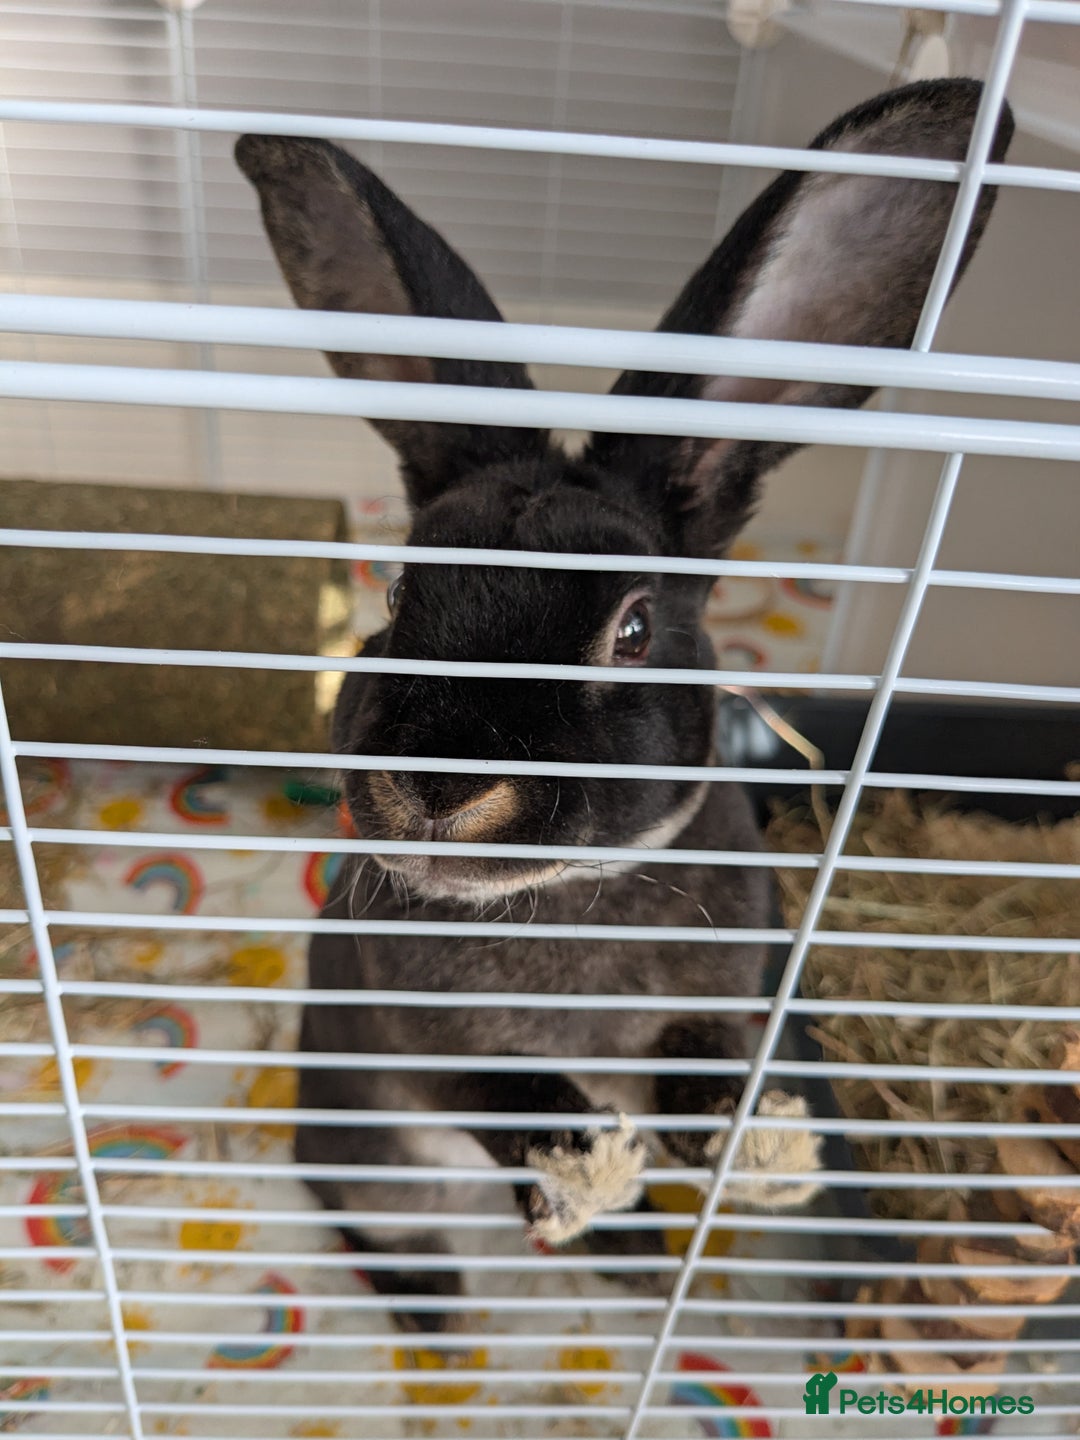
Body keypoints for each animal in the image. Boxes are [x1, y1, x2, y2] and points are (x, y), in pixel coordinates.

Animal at [235, 78, 1013, 1333]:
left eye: (635, 630)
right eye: (400, 594)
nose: (440, 785)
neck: (565, 900)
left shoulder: (723, 987)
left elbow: (699, 1062)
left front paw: (746, 1144)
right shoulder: (421, 1033)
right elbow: (499, 1094)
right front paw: (582, 1158)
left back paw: (637, 1254)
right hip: (368, 1149)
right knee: (372, 1213)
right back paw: (450, 1306)